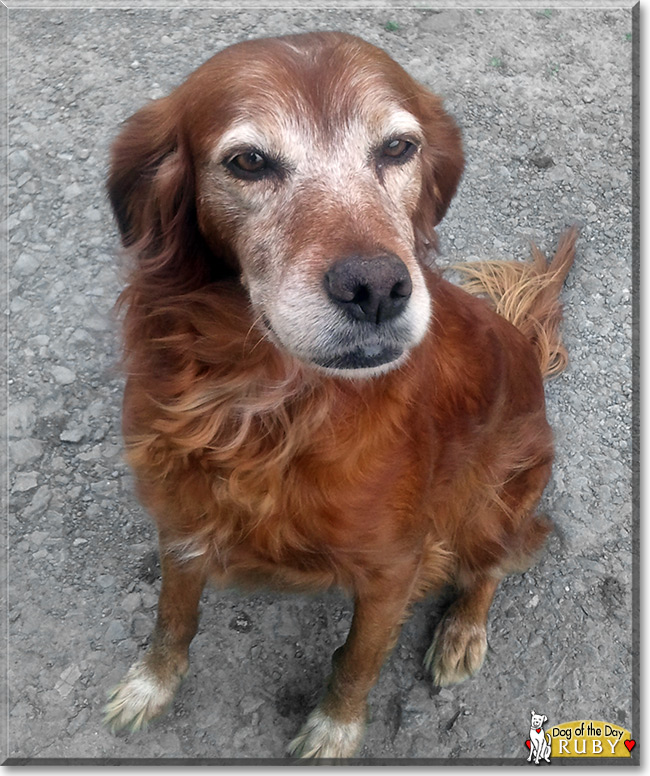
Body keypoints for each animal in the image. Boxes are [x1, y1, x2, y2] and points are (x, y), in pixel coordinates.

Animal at [104, 31, 576, 756]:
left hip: (497, 497)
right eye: (248, 162)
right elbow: (172, 615)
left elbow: (358, 658)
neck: (266, 403)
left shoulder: (393, 566)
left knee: (495, 561)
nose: (376, 287)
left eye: (398, 148)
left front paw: (334, 731)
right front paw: (149, 685)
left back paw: (462, 632)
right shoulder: (182, 514)